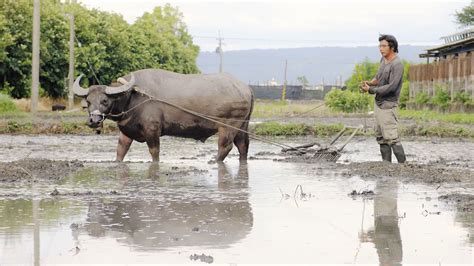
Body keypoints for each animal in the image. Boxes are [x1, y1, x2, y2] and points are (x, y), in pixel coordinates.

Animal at [74, 68, 254, 162]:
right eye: (88, 101)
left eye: (105, 100)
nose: (93, 120)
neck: (132, 96)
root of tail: (245, 88)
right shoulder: (126, 131)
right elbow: (120, 151)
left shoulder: (152, 130)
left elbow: (154, 152)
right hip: (242, 126)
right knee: (243, 146)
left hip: (228, 126)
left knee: (225, 146)